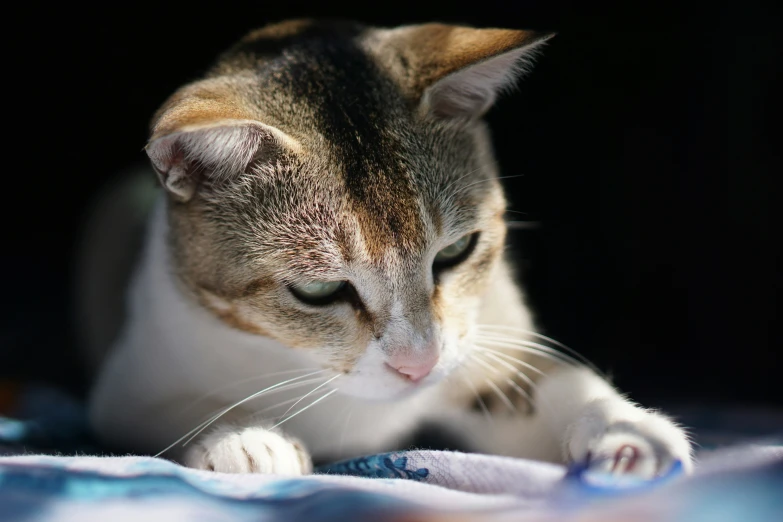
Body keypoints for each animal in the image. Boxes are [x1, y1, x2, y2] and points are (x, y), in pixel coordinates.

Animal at [82, 18, 696, 476]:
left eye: (455, 251)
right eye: (317, 288)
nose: (418, 367)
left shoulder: (489, 343)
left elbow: (546, 383)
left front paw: (629, 433)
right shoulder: (129, 383)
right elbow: (170, 412)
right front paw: (245, 440)